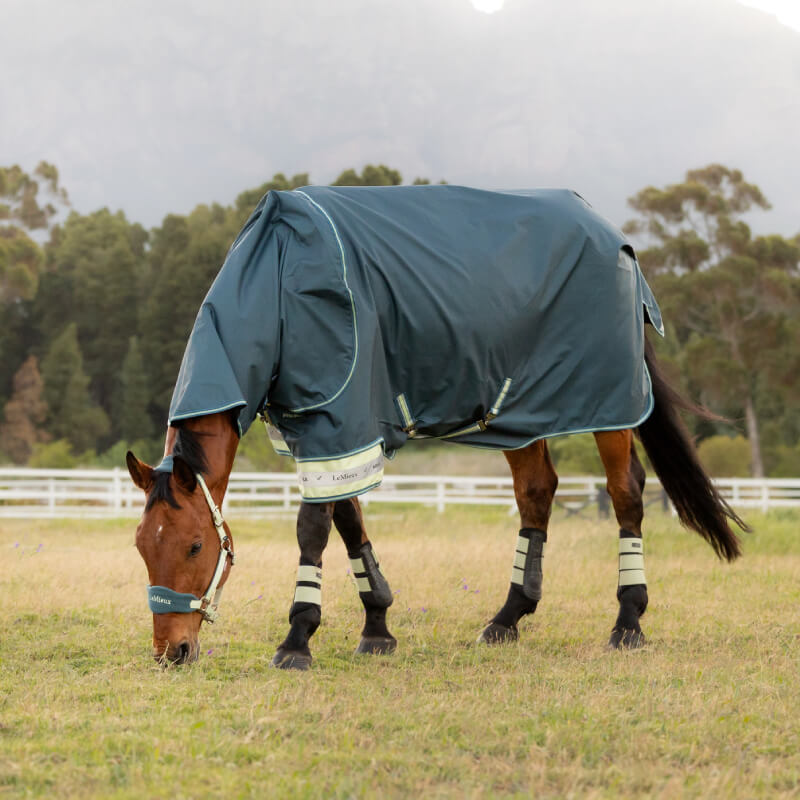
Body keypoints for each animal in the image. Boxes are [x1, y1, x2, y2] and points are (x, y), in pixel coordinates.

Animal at [126, 185, 747, 667]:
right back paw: (507, 617)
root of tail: (616, 239)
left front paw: (298, 638)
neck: (279, 278)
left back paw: (628, 622)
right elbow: (349, 519)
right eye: (140, 545)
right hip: (521, 411)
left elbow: (313, 529)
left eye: (195, 546)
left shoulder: (338, 420)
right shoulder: (325, 430)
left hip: (608, 405)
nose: (172, 652)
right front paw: (377, 627)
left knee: (625, 493)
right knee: (537, 490)